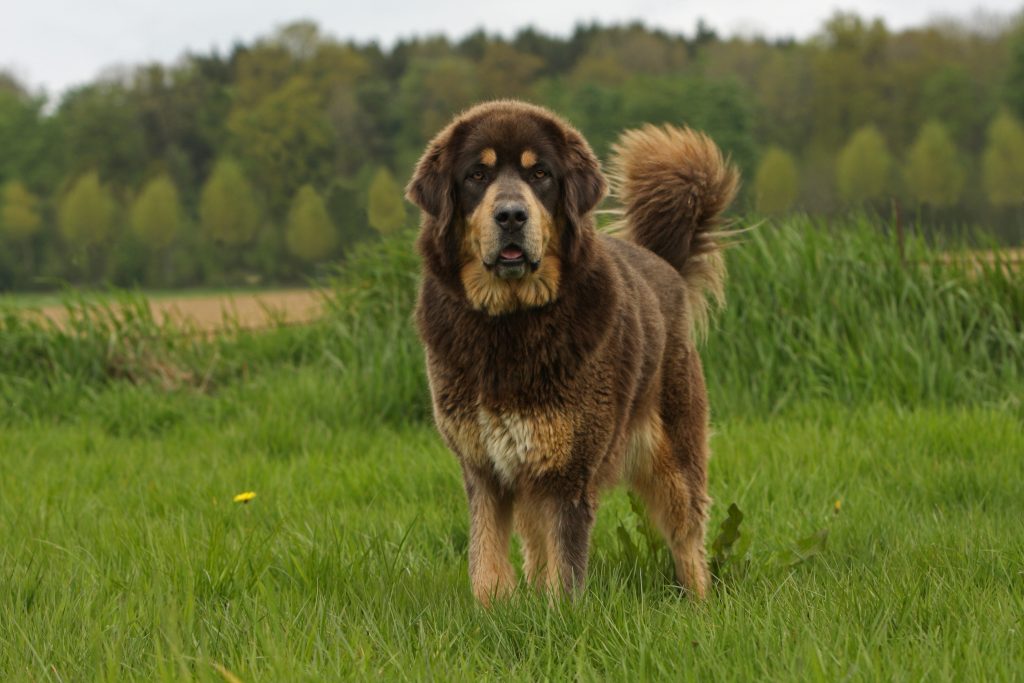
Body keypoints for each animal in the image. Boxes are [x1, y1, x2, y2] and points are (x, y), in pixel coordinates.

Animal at [405, 100, 737, 602]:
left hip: (675, 455)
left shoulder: (568, 472)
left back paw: (701, 604)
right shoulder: (486, 469)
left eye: (540, 173)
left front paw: (558, 616)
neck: (510, 324)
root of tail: (663, 263)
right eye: (476, 175)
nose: (511, 216)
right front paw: (493, 610)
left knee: (688, 538)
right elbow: (487, 562)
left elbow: (565, 570)